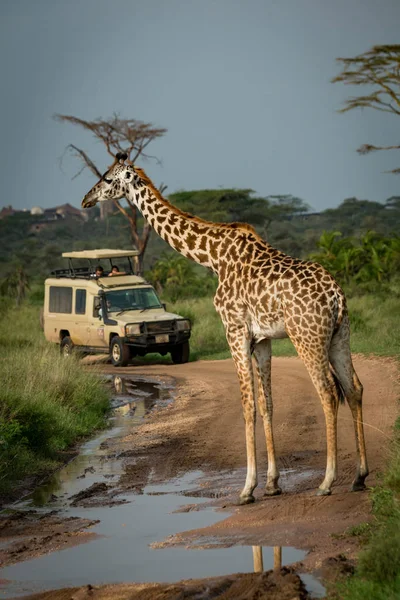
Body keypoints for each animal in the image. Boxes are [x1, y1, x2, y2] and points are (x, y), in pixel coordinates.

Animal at [81, 152, 368, 504]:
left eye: (107, 179)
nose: (86, 199)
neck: (212, 257)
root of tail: (336, 295)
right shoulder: (262, 338)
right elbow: (267, 404)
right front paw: (272, 484)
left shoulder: (234, 329)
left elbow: (247, 405)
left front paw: (247, 488)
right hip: (341, 334)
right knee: (354, 388)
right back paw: (359, 476)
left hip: (307, 337)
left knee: (328, 392)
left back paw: (327, 482)